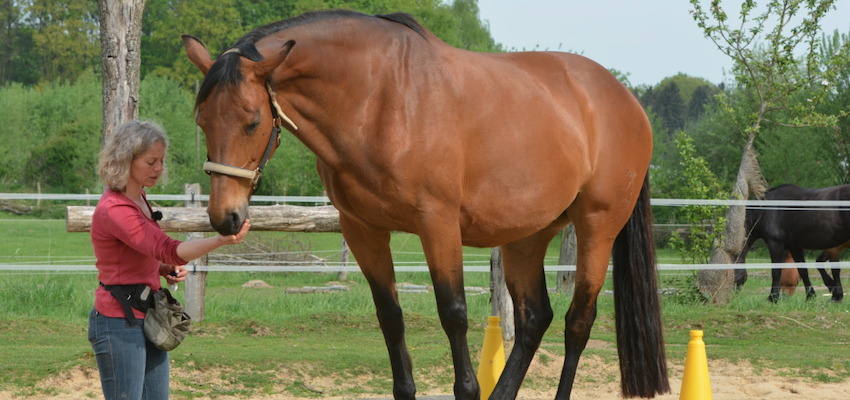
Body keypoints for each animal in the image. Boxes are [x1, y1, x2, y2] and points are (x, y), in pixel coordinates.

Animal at [182, 10, 664, 400]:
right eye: (201, 121)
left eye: (253, 121)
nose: (225, 217)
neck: (381, 99)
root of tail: (628, 101)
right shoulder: (362, 230)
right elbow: (390, 317)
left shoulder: (438, 225)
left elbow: (453, 314)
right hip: (526, 237)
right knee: (533, 319)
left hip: (597, 227)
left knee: (577, 322)